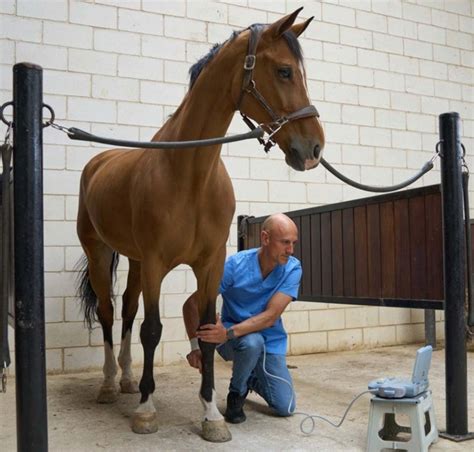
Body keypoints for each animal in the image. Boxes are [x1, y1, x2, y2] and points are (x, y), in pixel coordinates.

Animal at [76, 7, 324, 442]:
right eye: (284, 71)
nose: (313, 148)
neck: (189, 174)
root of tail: (98, 163)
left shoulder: (209, 264)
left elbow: (208, 332)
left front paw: (212, 415)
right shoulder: (156, 263)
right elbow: (152, 330)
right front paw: (146, 411)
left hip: (133, 261)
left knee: (126, 312)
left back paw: (126, 379)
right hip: (100, 253)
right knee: (108, 313)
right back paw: (108, 384)